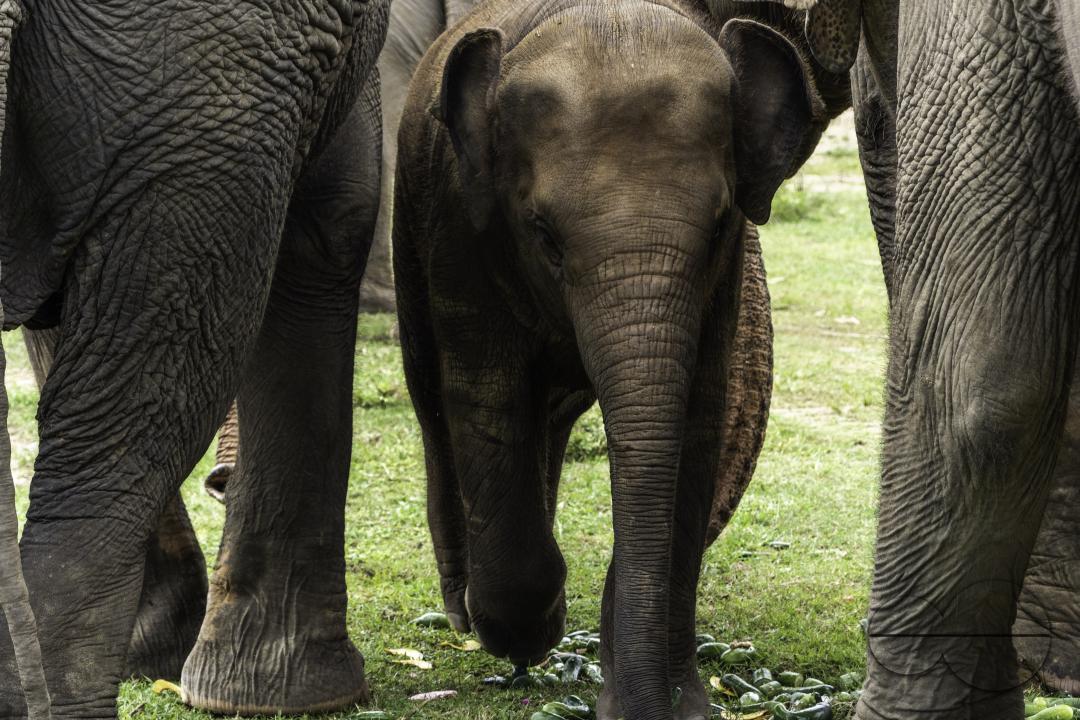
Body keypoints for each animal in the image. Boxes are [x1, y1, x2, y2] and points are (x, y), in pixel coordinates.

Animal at [393, 1, 848, 719]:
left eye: (719, 227)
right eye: (544, 235)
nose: (632, 706)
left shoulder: (722, 284)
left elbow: (697, 423)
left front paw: (680, 703)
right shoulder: (459, 224)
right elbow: (486, 397)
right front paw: (526, 635)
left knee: (551, 418)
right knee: (437, 404)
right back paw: (469, 613)